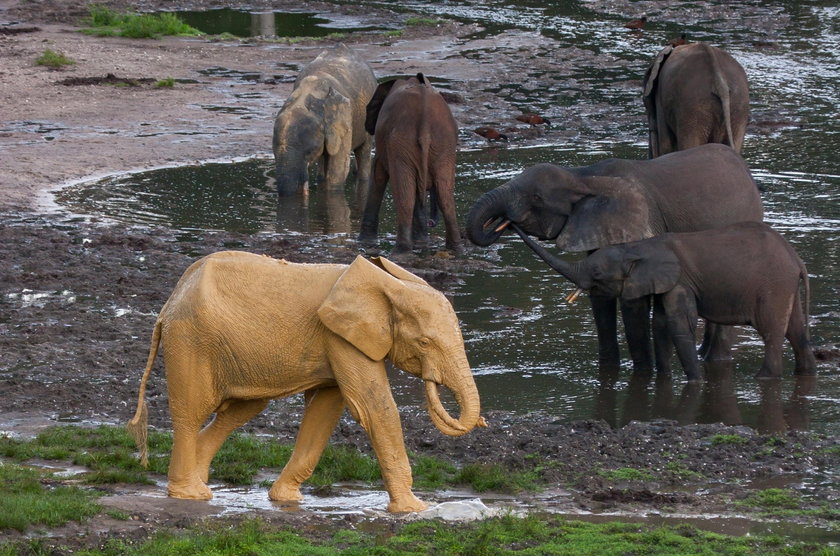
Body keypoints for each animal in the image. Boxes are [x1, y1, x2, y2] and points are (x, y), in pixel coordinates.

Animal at [124, 252, 486, 512]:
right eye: (425, 343)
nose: (482, 422)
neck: (385, 285)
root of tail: (169, 304)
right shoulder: (341, 338)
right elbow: (373, 406)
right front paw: (415, 509)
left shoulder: (338, 340)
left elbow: (325, 410)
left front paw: (286, 500)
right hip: (191, 341)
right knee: (192, 411)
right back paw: (191, 495)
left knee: (242, 410)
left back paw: (200, 482)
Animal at [354, 73, 460, 254]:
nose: (431, 223)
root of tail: (425, 122)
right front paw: (421, 243)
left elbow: (378, 174)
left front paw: (364, 242)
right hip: (441, 144)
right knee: (445, 196)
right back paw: (456, 250)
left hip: (402, 142)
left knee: (406, 196)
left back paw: (401, 251)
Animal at [470, 144, 764, 374]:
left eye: (536, 197)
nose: (505, 223)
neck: (583, 177)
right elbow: (600, 296)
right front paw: (609, 369)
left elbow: (633, 301)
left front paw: (642, 374)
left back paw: (715, 360)